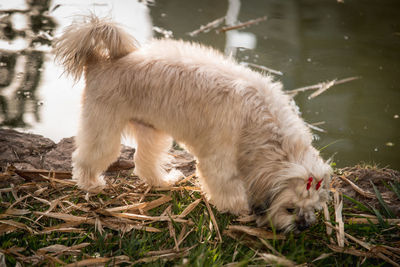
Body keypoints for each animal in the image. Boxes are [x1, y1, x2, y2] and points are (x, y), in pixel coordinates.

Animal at [54, 15, 332, 232]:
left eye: (315, 206)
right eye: (289, 208)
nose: (304, 225)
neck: (261, 120)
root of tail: (100, 61)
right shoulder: (219, 158)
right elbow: (225, 185)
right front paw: (238, 208)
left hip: (152, 132)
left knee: (144, 163)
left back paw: (163, 181)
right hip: (104, 129)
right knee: (87, 158)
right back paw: (91, 184)